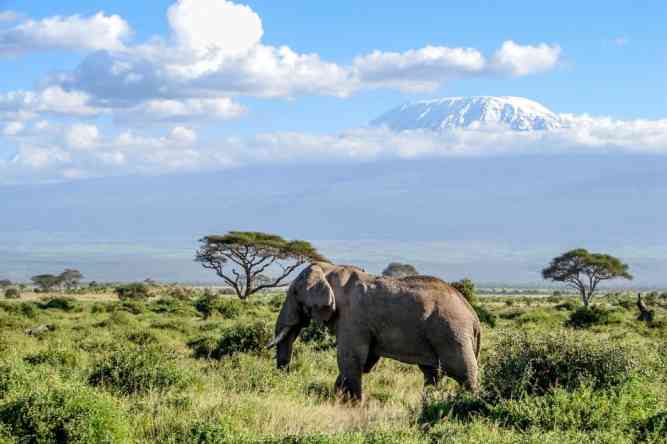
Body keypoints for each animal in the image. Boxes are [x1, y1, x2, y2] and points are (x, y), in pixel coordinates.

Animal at [268, 262, 482, 400]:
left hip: (451, 332)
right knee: (432, 374)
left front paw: (350, 404)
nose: (284, 379)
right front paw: (337, 398)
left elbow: (351, 358)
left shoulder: (353, 318)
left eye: (294, 292)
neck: (330, 269)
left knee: (463, 372)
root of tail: (474, 316)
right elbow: (366, 361)